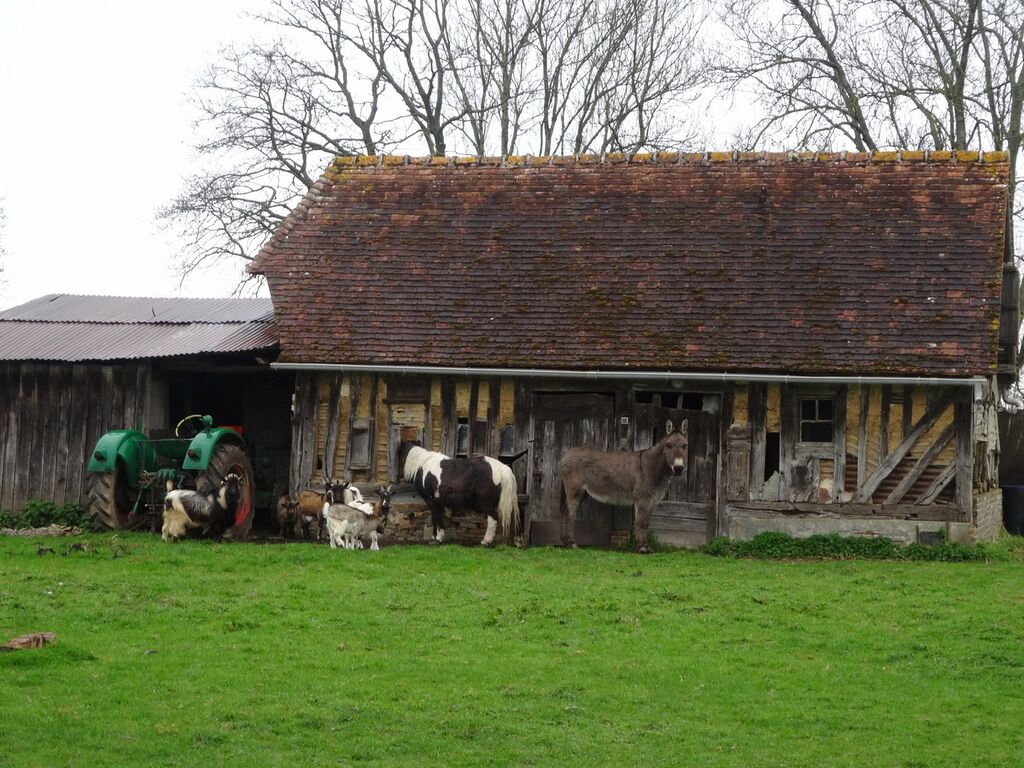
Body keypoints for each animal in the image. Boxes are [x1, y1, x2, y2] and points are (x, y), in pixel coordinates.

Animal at [559, 418, 688, 554]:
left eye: (685, 446)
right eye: (669, 445)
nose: (678, 469)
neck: (652, 467)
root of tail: (567, 454)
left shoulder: (652, 500)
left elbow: (646, 522)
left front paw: (646, 547)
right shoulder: (642, 499)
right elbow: (641, 522)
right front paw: (642, 548)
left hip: (583, 492)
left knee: (564, 511)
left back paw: (565, 542)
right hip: (574, 490)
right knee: (570, 514)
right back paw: (572, 543)